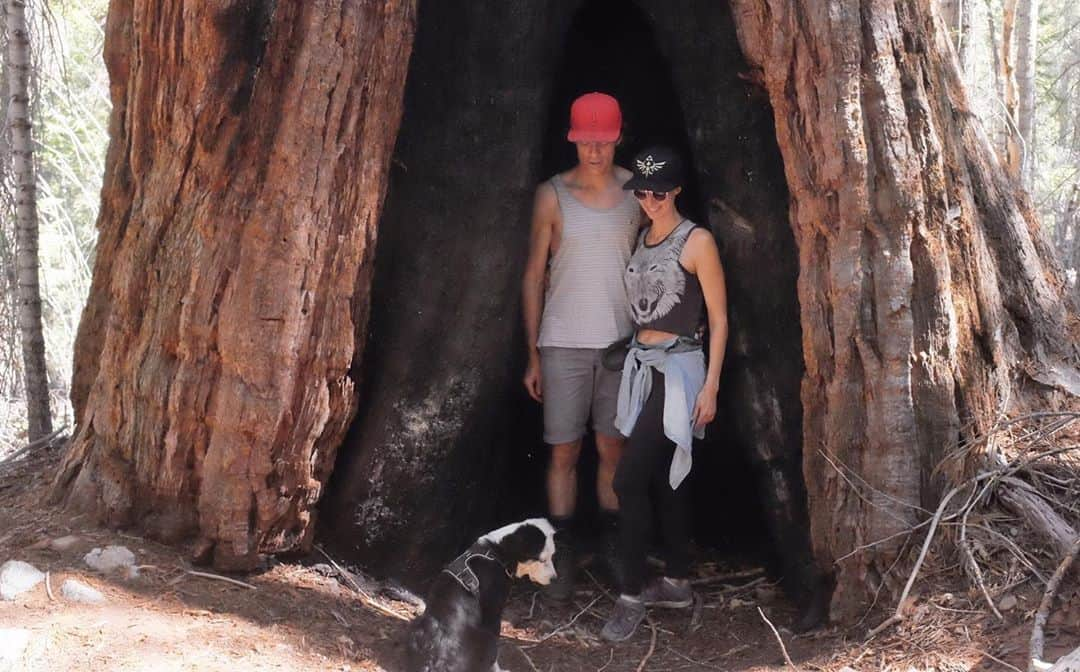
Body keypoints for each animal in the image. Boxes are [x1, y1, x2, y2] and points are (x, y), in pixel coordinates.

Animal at [406, 520, 557, 672]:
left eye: (552, 555)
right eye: (542, 560)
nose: (554, 579)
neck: (498, 551)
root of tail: (435, 661)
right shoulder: (493, 615)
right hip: (486, 637)